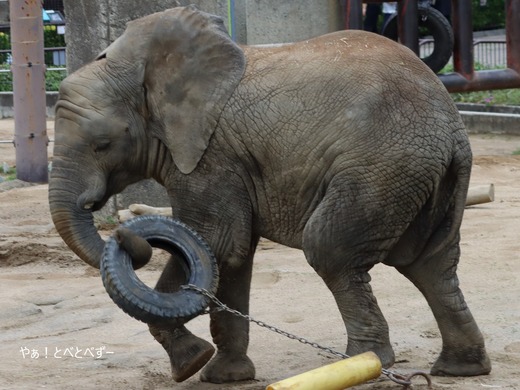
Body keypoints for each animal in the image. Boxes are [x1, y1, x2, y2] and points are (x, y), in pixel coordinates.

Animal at [46, 4, 490, 386]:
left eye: (103, 144)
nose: (123, 233)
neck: (141, 70)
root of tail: (451, 123)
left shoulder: (212, 155)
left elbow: (215, 244)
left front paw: (192, 363)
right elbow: (231, 256)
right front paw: (223, 375)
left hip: (382, 167)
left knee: (331, 250)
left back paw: (363, 364)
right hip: (428, 176)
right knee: (430, 264)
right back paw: (460, 368)